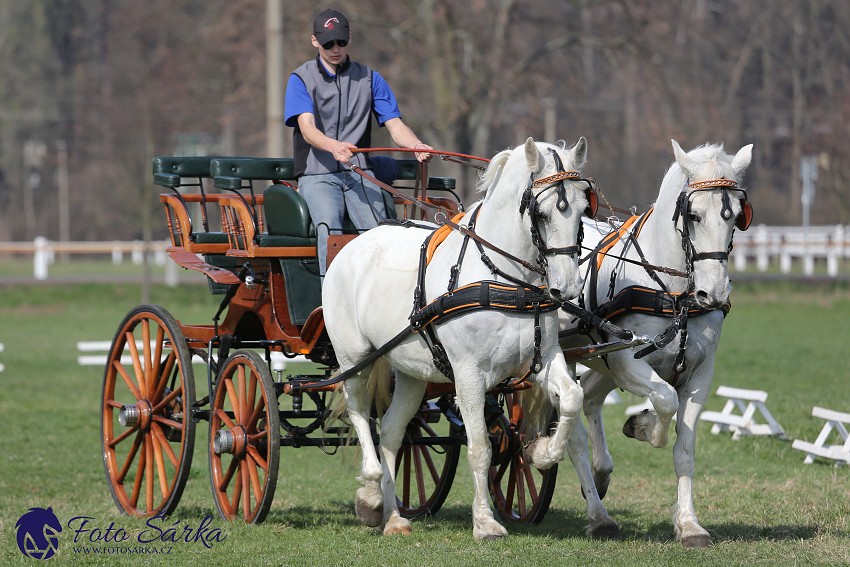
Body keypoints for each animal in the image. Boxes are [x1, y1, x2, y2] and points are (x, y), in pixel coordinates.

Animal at [322, 138, 608, 540]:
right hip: (355, 359)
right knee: (360, 413)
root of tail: (354, 243)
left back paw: (394, 516)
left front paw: (544, 454)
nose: (566, 289)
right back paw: (371, 497)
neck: (505, 279)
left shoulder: (543, 360)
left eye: (584, 209)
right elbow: (481, 447)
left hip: (410, 372)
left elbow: (571, 401)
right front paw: (485, 522)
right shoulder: (469, 376)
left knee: (392, 431)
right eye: (543, 213)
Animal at [560, 140, 752, 548]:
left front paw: (689, 525)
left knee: (590, 397)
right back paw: (598, 515)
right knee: (575, 433)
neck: (675, 294)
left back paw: (601, 475)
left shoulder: (700, 375)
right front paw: (643, 426)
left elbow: (685, 449)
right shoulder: (629, 362)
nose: (713, 292)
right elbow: (664, 401)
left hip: (601, 362)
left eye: (736, 217)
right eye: (693, 215)